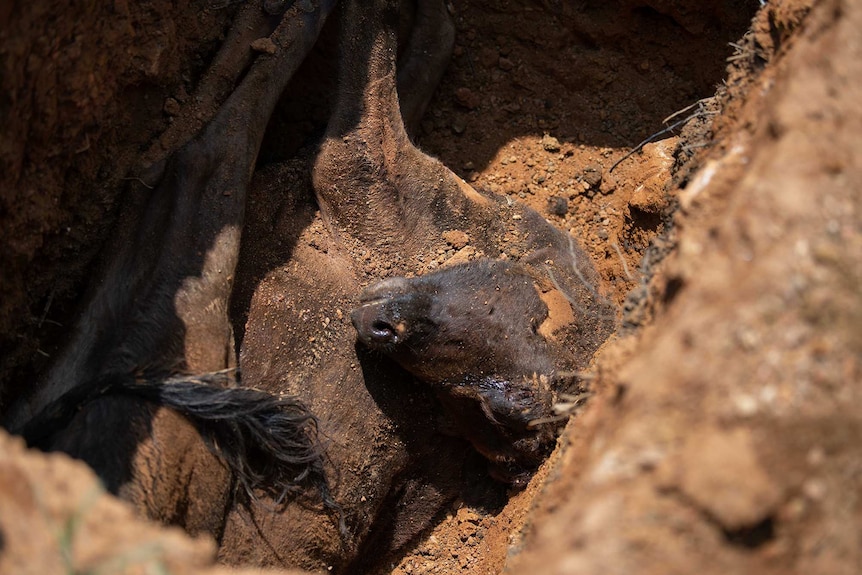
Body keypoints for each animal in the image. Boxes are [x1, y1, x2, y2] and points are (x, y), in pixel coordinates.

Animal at [3, 0, 616, 572]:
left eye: (499, 409)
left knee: (196, 165)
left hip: (179, 375)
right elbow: (421, 51)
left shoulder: (365, 172)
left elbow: (362, 68)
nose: (382, 327)